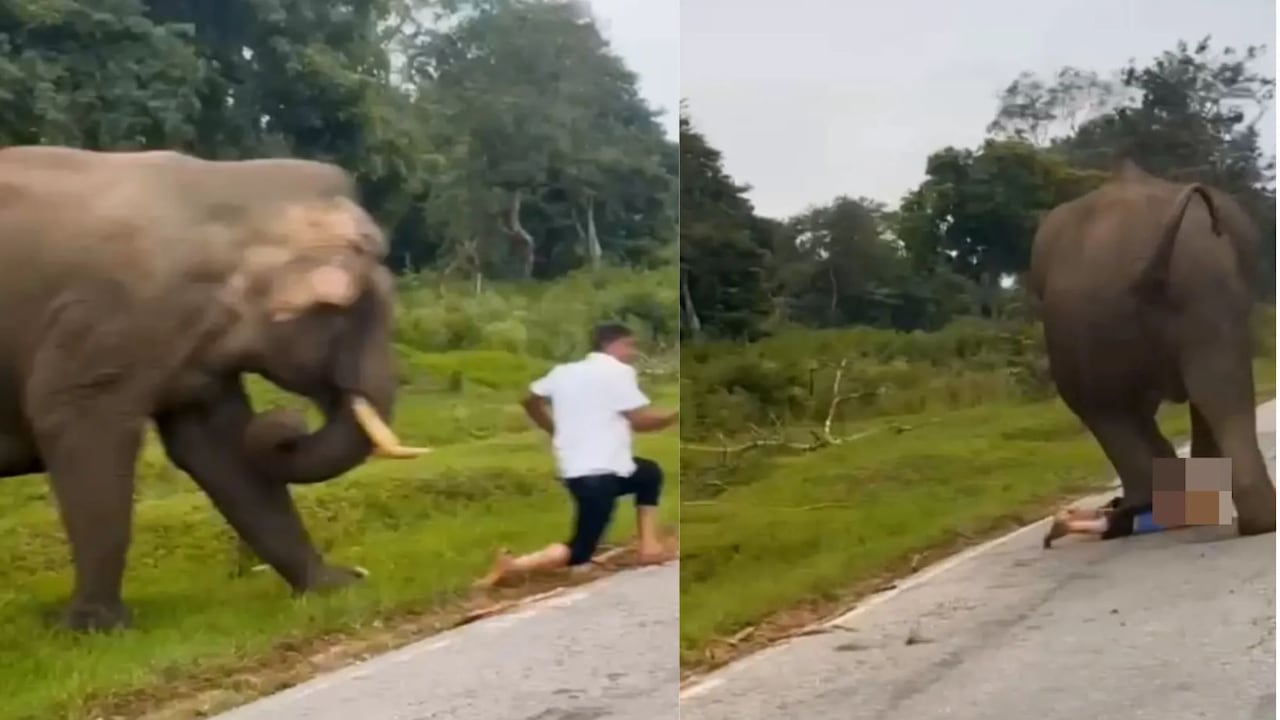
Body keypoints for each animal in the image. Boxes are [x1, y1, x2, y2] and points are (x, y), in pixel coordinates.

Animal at [0, 145, 429, 631]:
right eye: (354, 314)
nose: (287, 423)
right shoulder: (98, 330)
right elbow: (81, 432)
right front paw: (98, 628)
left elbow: (218, 451)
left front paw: (335, 586)